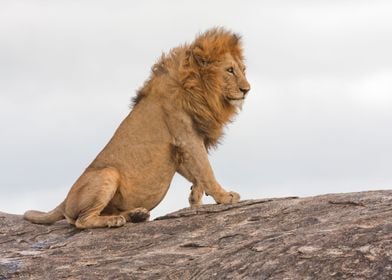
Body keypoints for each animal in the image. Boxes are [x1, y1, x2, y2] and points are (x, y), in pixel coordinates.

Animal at [23, 27, 251, 229]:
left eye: (243, 70)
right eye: (230, 70)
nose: (246, 90)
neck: (198, 88)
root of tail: (63, 201)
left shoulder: (181, 148)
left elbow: (196, 173)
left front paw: (195, 196)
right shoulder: (187, 136)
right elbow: (206, 170)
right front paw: (225, 197)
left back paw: (136, 214)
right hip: (108, 174)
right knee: (80, 221)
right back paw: (115, 220)